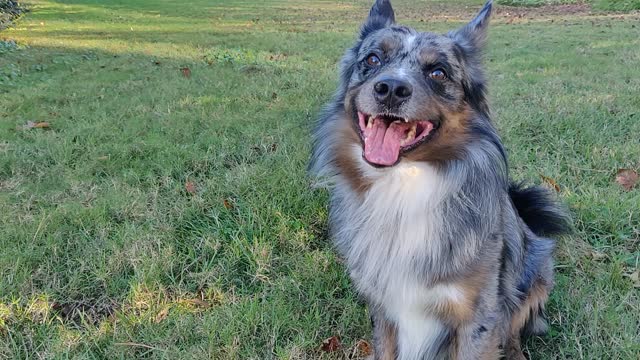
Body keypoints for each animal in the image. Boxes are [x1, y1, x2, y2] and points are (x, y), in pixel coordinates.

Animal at [308, 1, 568, 358]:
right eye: (373, 59)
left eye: (438, 72)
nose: (391, 89)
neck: (403, 186)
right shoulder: (382, 308)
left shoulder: (478, 319)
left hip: (538, 267)